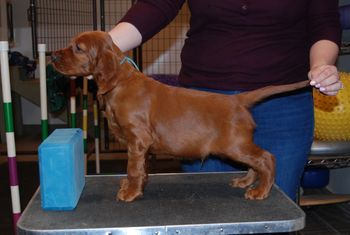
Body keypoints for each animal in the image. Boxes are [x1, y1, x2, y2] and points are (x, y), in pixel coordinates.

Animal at [51, 30, 308, 202]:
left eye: (78, 48)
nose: (52, 56)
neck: (120, 83)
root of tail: (237, 100)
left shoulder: (138, 138)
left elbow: (133, 167)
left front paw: (130, 192)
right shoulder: (142, 145)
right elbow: (141, 167)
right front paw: (136, 185)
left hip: (235, 144)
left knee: (267, 158)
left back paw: (260, 191)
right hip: (237, 145)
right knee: (256, 162)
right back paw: (245, 181)